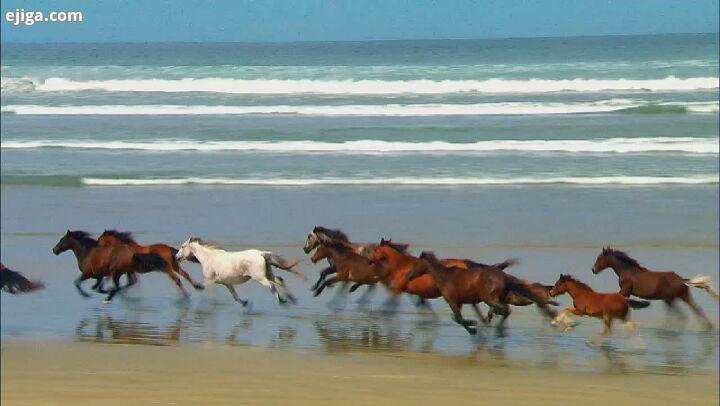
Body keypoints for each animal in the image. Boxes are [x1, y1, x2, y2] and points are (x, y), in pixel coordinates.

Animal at [178, 236, 306, 306]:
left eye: (183, 246)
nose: (177, 257)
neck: (208, 258)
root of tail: (261, 253)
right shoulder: (226, 283)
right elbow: (234, 296)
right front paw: (245, 304)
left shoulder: (209, 280)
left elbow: (203, 289)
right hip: (268, 274)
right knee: (280, 280)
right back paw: (292, 299)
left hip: (260, 278)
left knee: (271, 286)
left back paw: (282, 301)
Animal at [404, 252, 552, 334]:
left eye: (416, 264)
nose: (409, 276)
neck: (445, 277)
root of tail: (503, 277)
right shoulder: (459, 302)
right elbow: (457, 318)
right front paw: (474, 324)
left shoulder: (452, 301)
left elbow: (459, 319)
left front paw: (473, 328)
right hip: (494, 299)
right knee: (504, 311)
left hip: (490, 299)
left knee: (505, 310)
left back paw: (497, 330)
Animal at [592, 247, 720, 330]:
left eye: (599, 258)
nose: (593, 270)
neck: (628, 272)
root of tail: (681, 279)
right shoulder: (626, 292)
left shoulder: (625, 291)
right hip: (683, 297)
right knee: (697, 310)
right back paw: (708, 327)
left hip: (669, 299)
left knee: (681, 315)